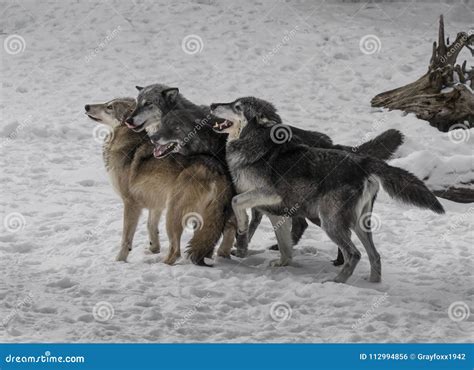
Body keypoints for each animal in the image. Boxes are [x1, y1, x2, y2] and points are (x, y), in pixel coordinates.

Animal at [84, 97, 235, 266]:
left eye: (109, 107)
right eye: (107, 103)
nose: (86, 106)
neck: (127, 141)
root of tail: (218, 170)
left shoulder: (131, 204)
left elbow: (126, 238)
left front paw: (119, 260)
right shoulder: (155, 202)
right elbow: (151, 226)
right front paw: (153, 248)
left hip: (173, 213)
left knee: (176, 251)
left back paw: (162, 264)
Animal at [207, 96, 444, 284]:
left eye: (237, 106)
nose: (212, 104)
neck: (255, 144)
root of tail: (363, 161)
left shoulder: (268, 195)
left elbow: (236, 202)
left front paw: (242, 227)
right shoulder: (276, 214)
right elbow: (285, 248)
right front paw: (282, 263)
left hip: (330, 222)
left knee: (354, 254)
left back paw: (337, 281)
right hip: (357, 224)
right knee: (375, 255)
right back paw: (373, 284)